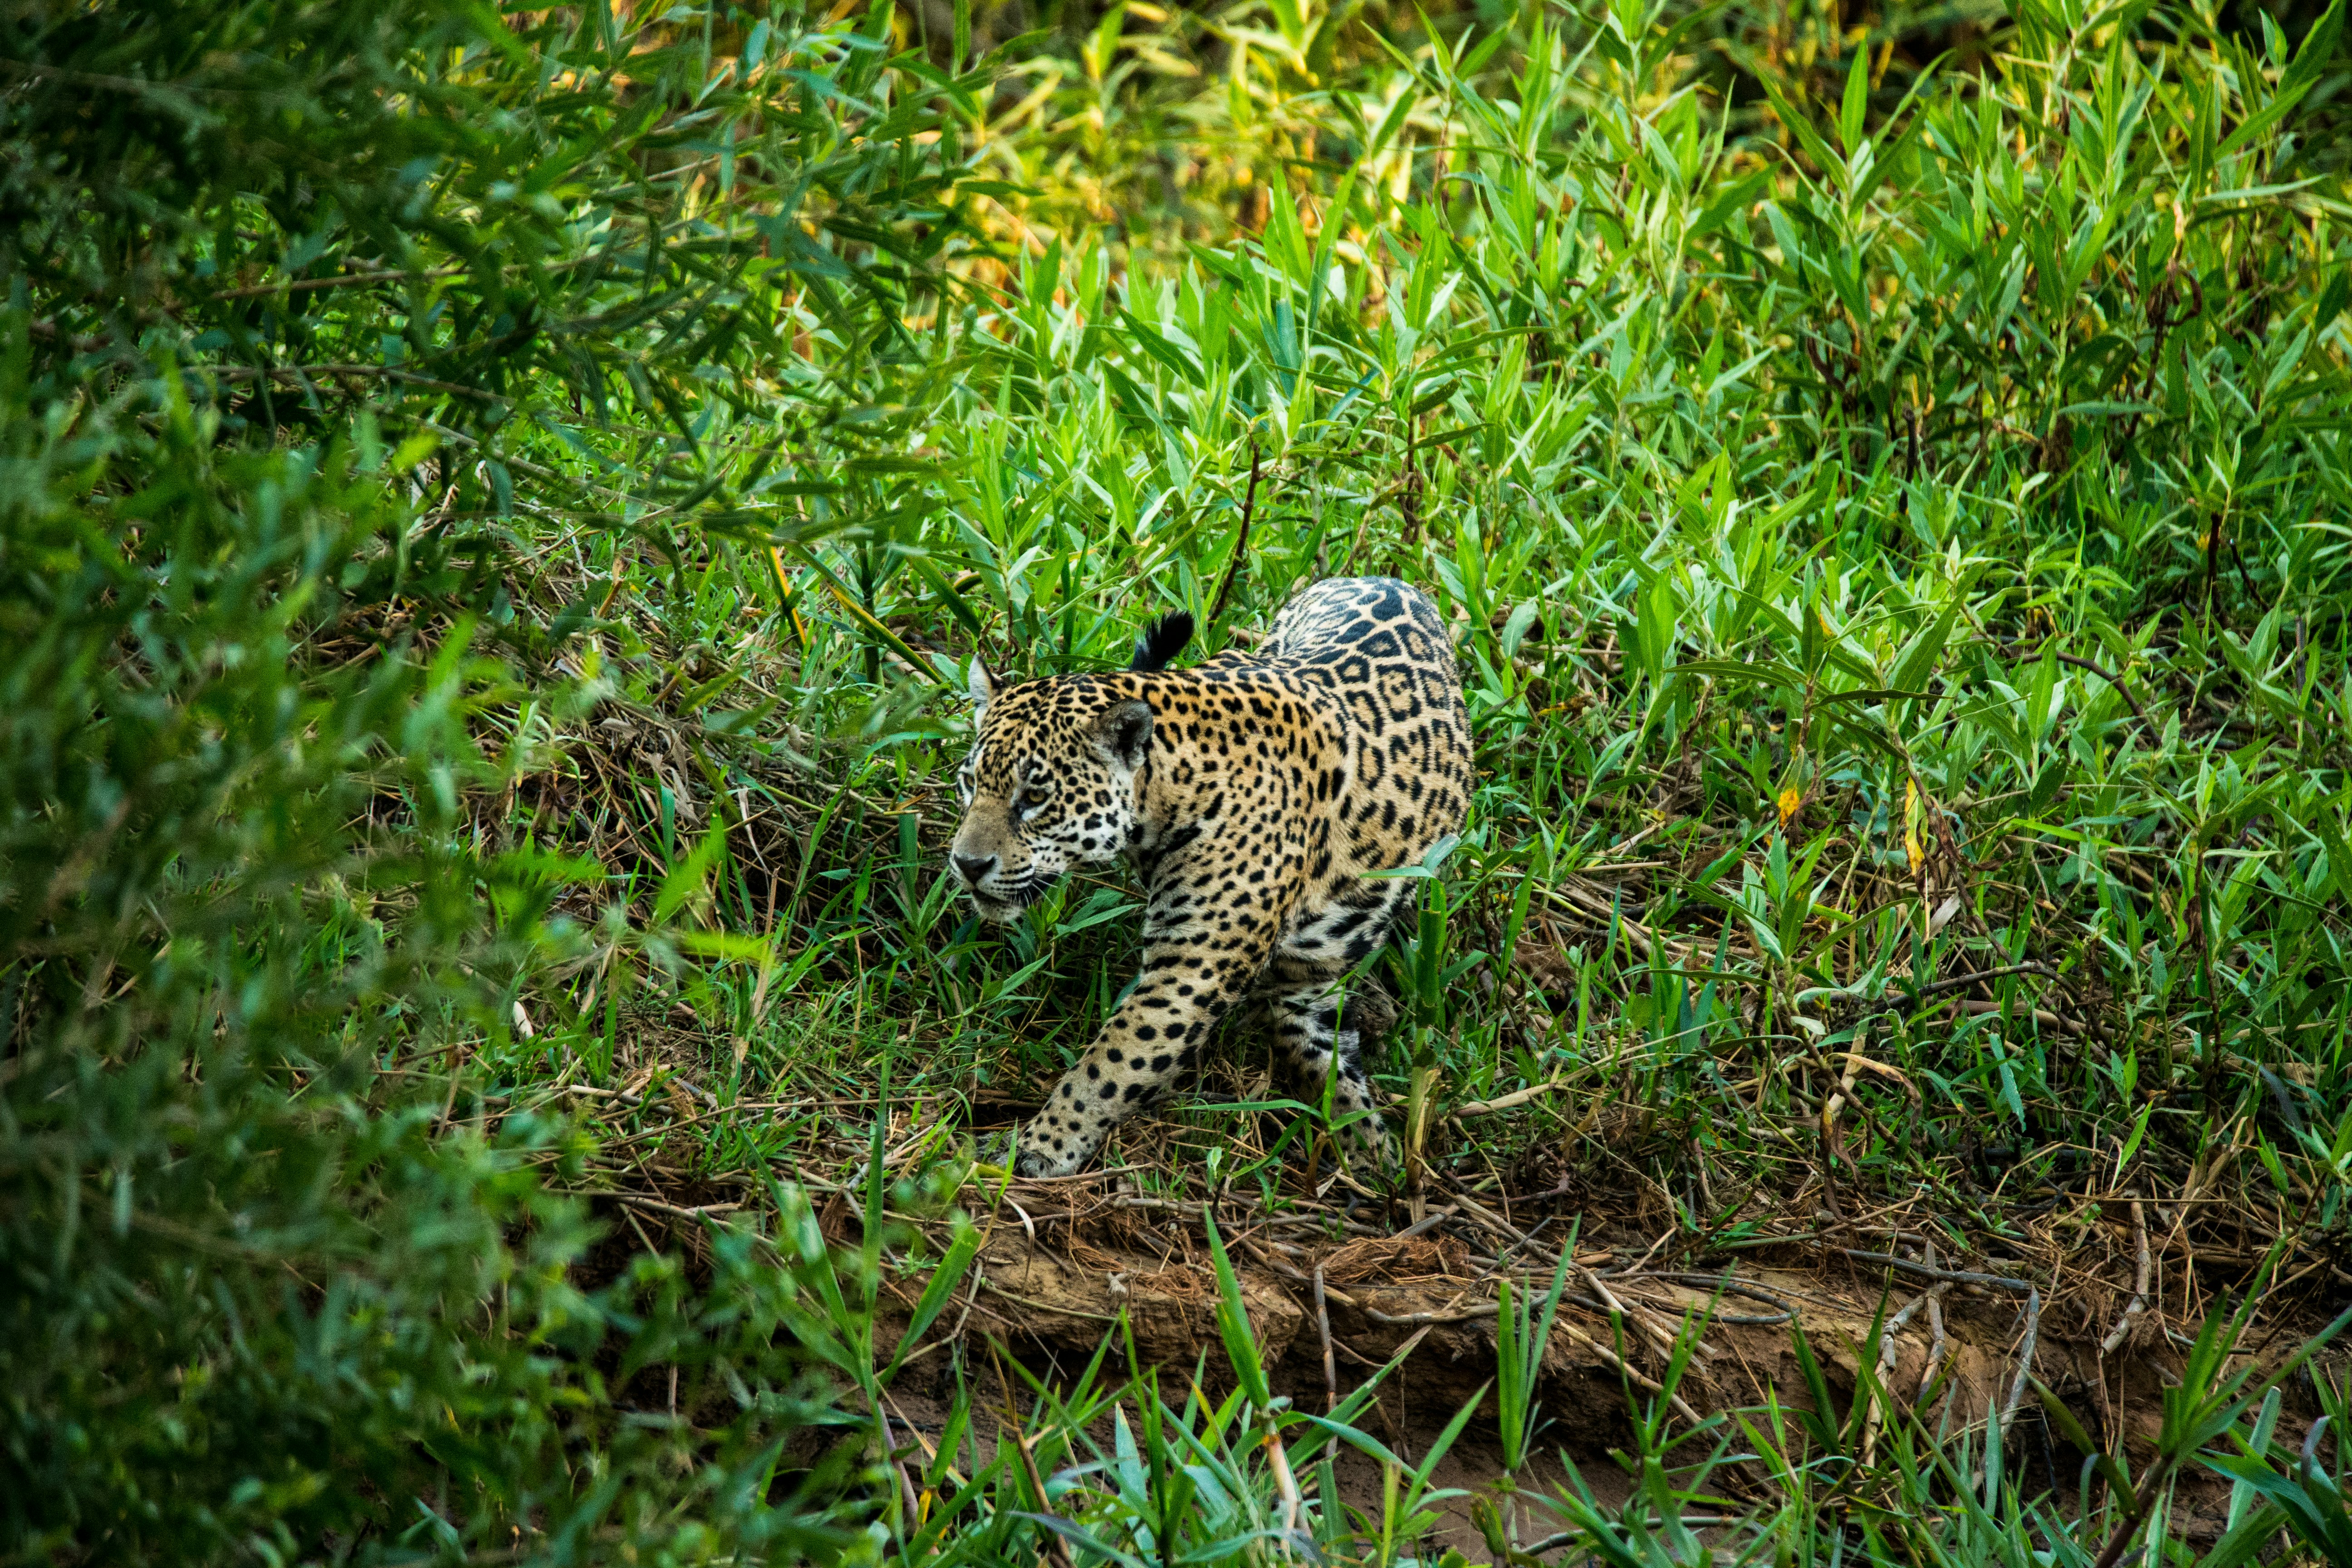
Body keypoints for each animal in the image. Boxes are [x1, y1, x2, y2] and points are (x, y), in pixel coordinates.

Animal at [948, 575, 1472, 1179]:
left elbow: (1111, 1065)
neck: (1170, 791)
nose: (967, 864)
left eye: (1035, 797)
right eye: (970, 782)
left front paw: (1037, 1147)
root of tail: (1384, 577)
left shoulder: (1194, 968)